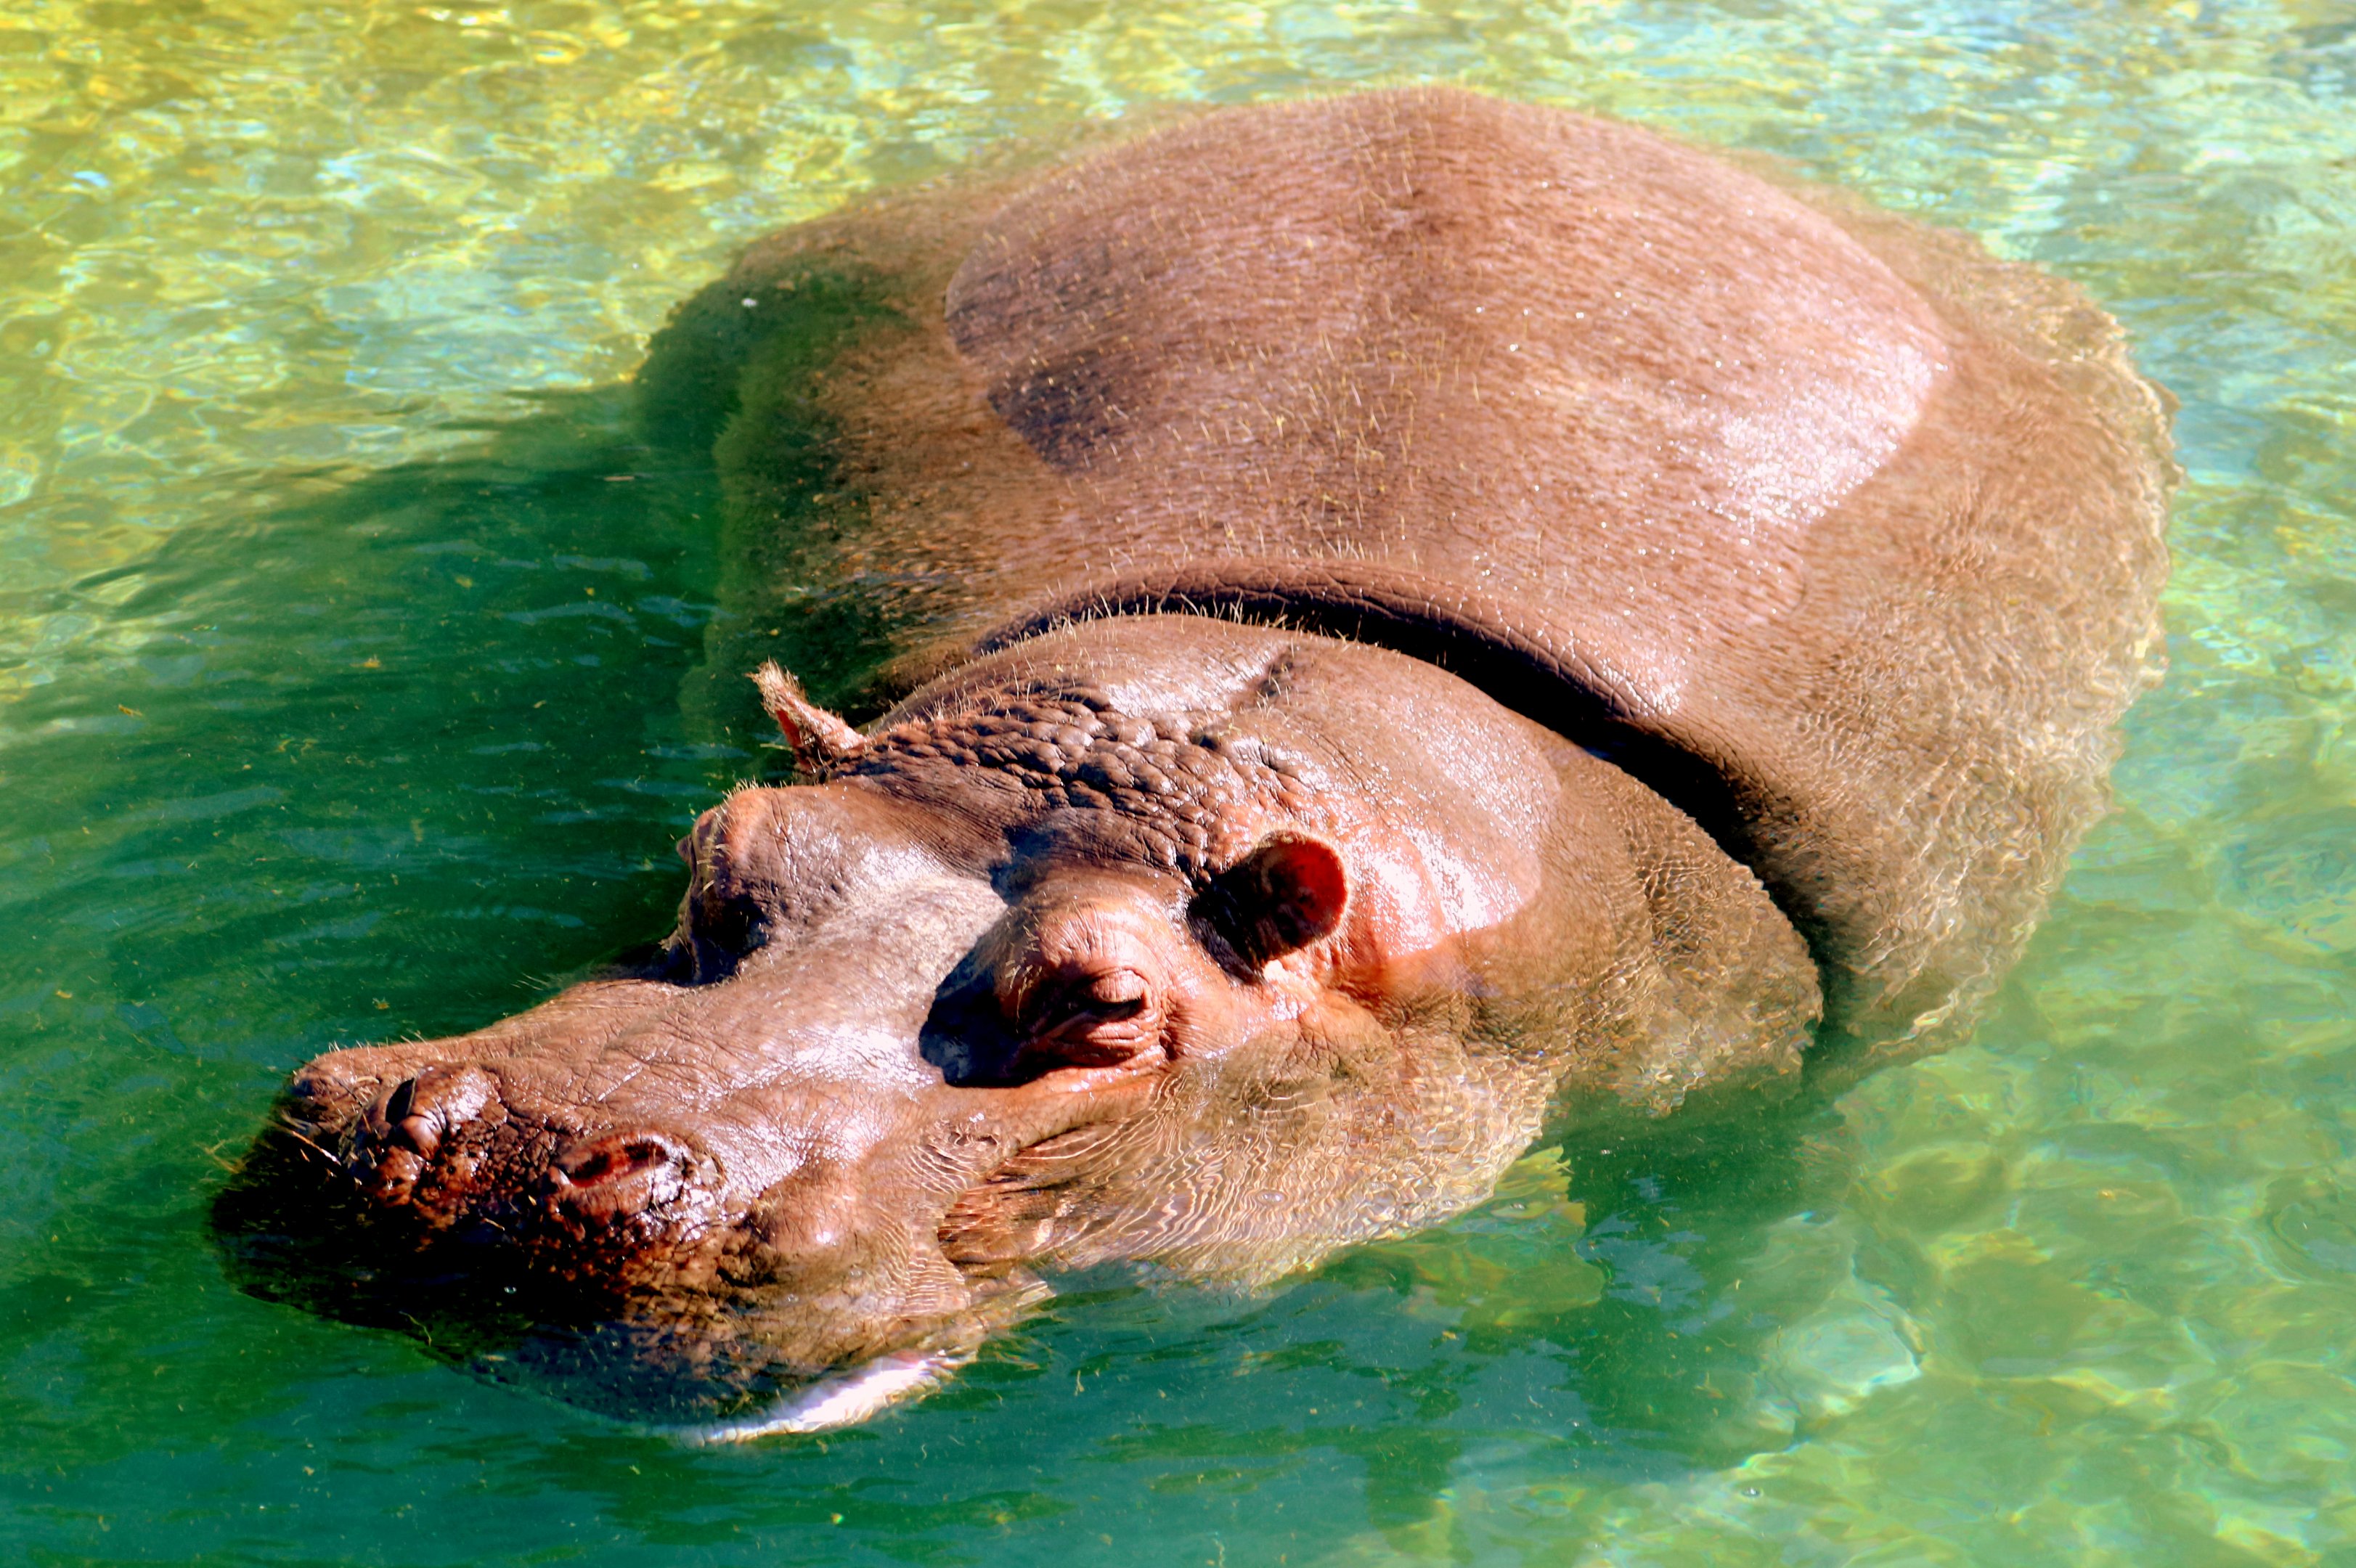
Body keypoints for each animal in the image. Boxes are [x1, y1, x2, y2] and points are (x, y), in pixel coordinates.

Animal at [215, 88, 2172, 1435]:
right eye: (720, 851)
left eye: (1101, 1009)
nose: (500, 1157)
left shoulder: (1810, 1056)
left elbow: (1756, 1217)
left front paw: (1740, 1408)